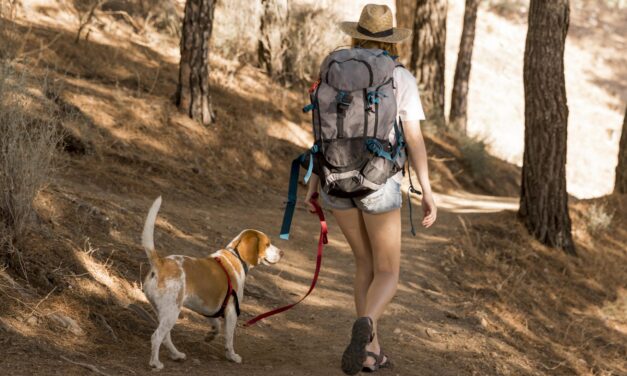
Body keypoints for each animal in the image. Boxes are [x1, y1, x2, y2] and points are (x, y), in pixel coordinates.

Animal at [141, 197, 284, 370]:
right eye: (267, 244)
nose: (282, 253)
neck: (235, 255)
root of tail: (161, 262)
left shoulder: (210, 309)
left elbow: (216, 325)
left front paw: (210, 335)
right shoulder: (231, 311)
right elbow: (229, 338)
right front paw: (232, 356)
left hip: (165, 313)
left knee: (165, 337)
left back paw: (176, 355)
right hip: (171, 312)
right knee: (156, 337)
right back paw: (155, 363)